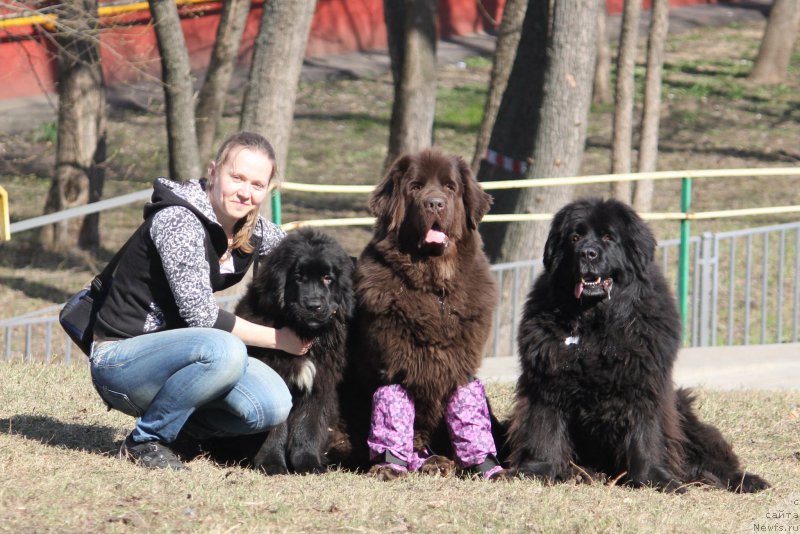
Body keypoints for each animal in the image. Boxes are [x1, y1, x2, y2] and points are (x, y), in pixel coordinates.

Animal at [209, 228, 354, 476]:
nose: (314, 306)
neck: (303, 332)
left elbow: (308, 424)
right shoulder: (279, 381)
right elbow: (276, 427)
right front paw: (271, 463)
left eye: (327, 278)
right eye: (298, 276)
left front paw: (308, 463)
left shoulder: (320, 384)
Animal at [344, 148, 500, 482]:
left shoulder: (460, 368)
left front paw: (484, 464)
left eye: (450, 187)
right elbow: (398, 423)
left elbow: (467, 421)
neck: (434, 289)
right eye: (415, 187)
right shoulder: (395, 364)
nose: (435, 203)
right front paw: (393, 464)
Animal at [510, 198, 772, 494]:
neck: (595, 323)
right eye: (574, 238)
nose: (587, 253)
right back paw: (581, 473)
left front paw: (654, 479)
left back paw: (743, 480)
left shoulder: (645, 383)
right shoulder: (546, 381)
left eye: (609, 237)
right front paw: (538, 470)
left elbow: (646, 433)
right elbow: (545, 426)